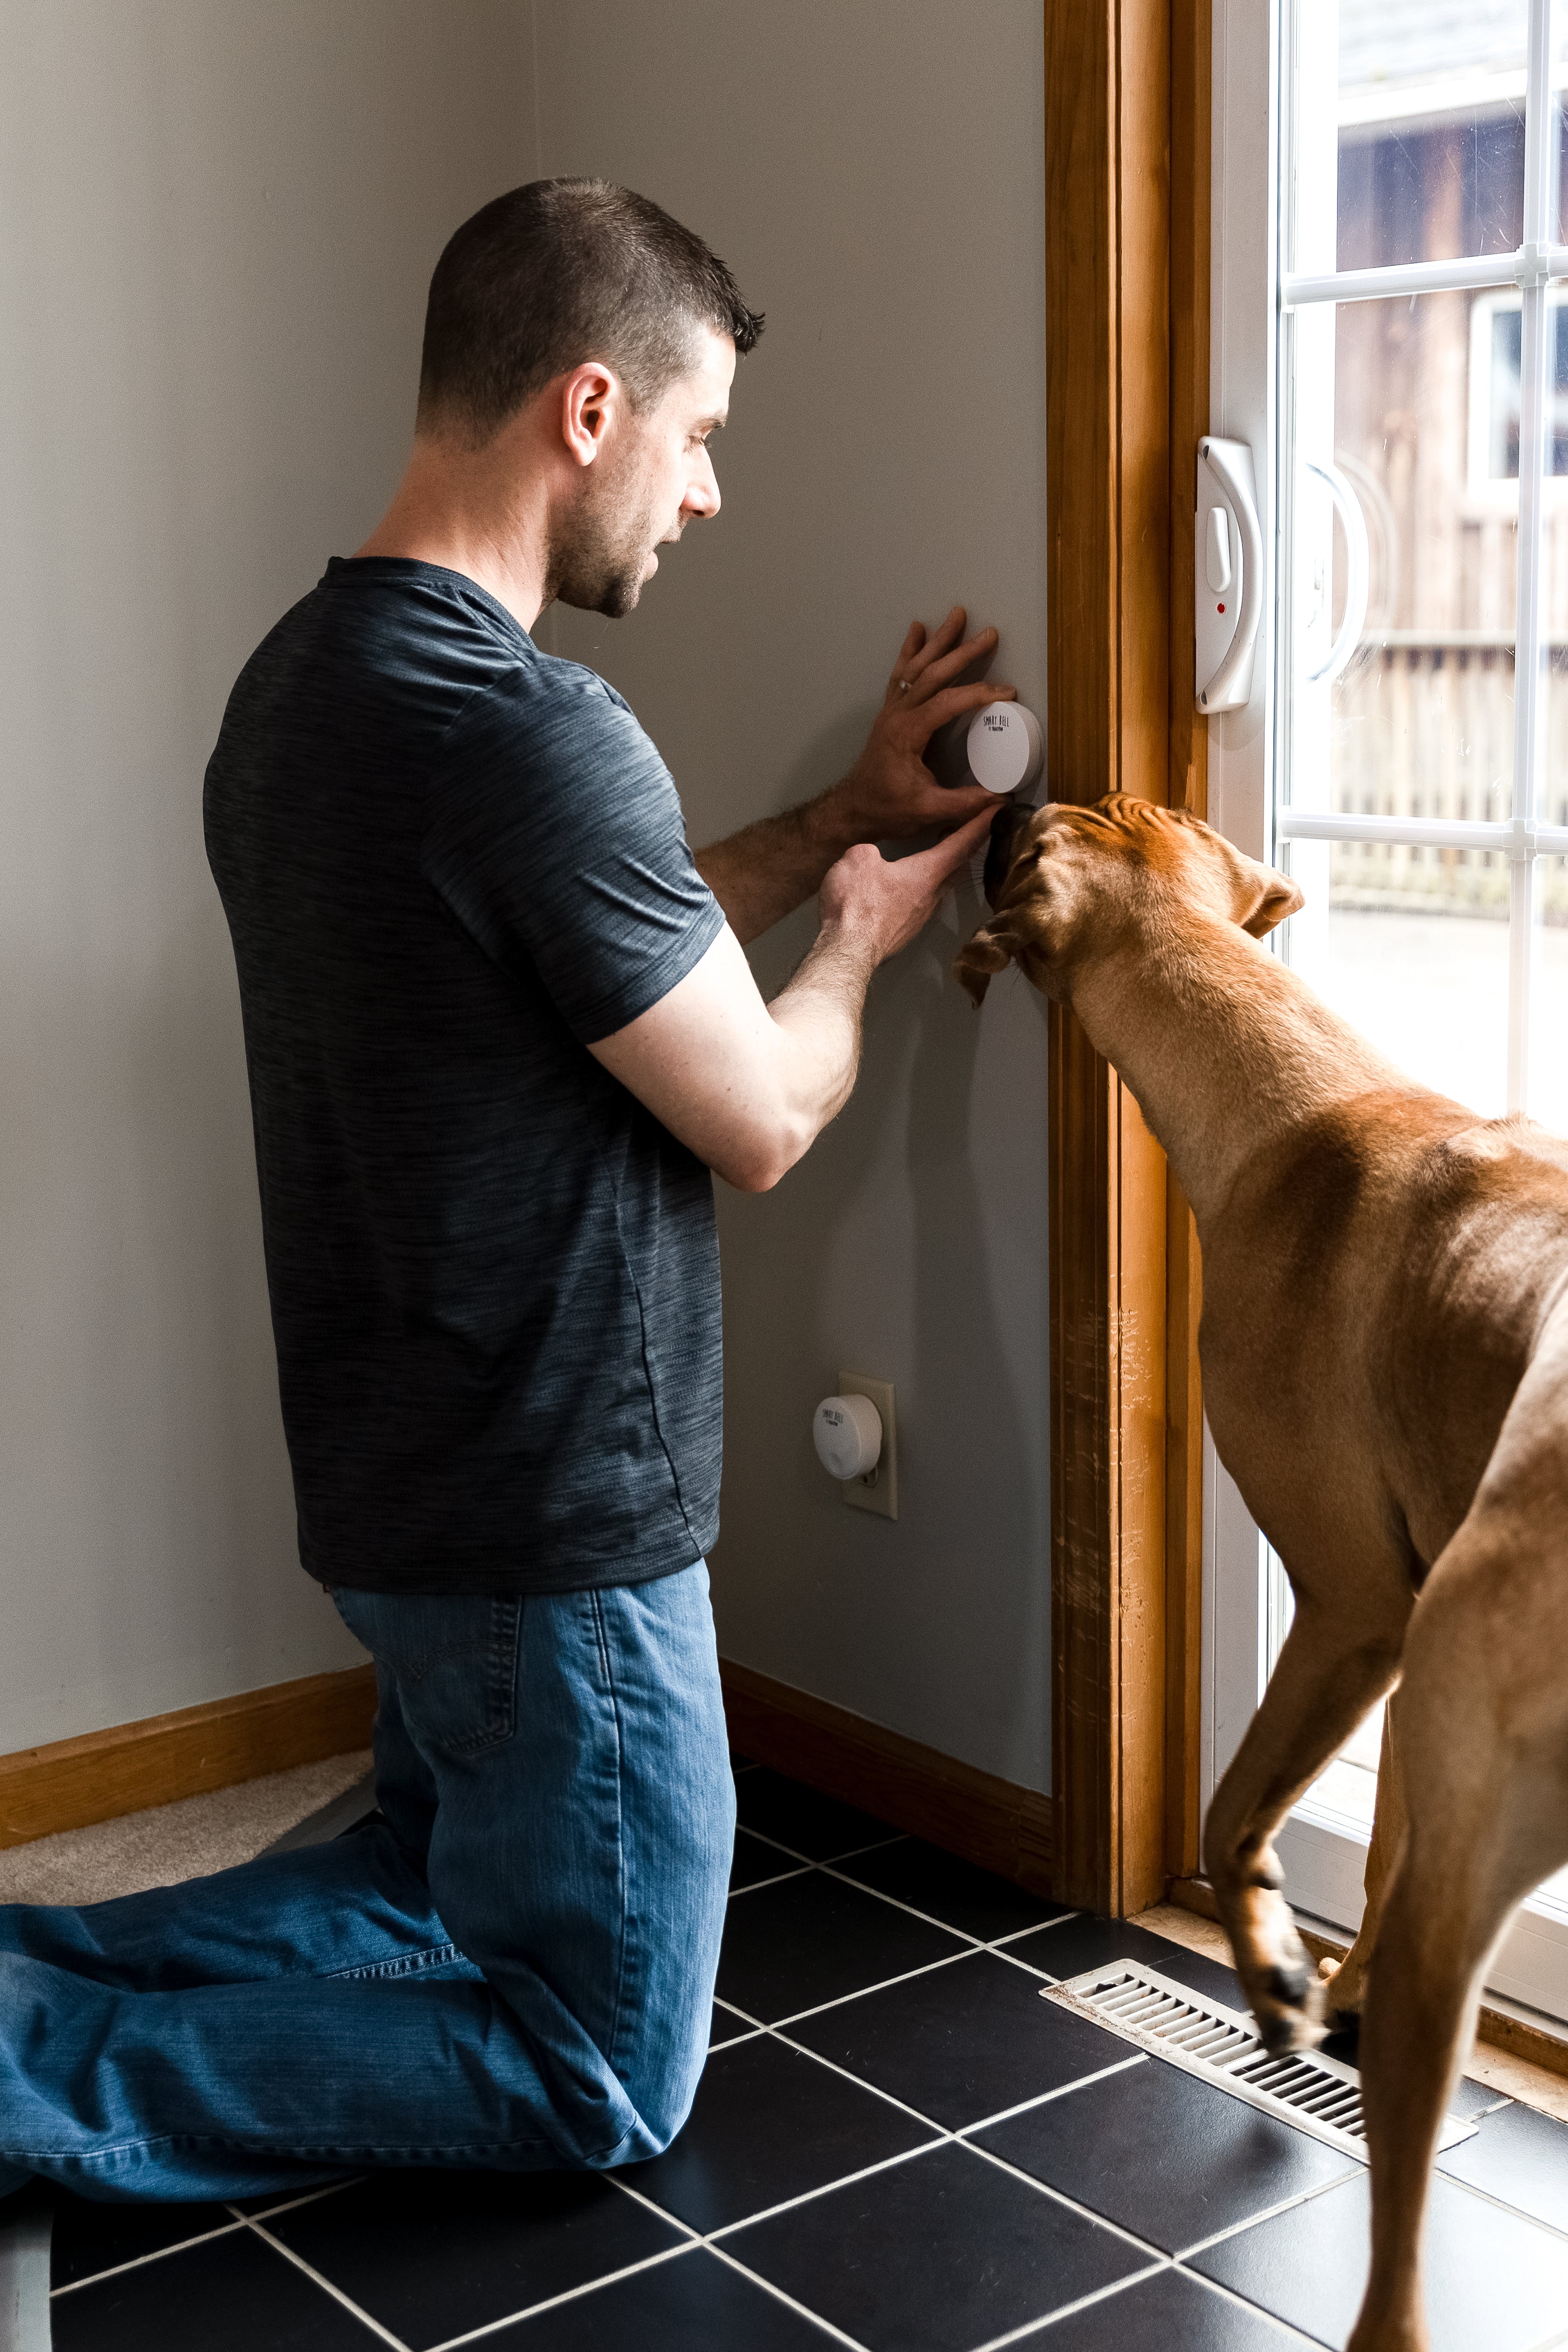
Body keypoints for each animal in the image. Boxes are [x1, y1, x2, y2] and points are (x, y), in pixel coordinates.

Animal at [959, 795, 1568, 2352]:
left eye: (1028, 844)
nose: (999, 801)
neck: (1299, 1096)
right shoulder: (1407, 1649)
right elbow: (1391, 1825)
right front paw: (1326, 1980)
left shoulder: (1348, 1609)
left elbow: (1232, 1810)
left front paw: (1280, 1976)